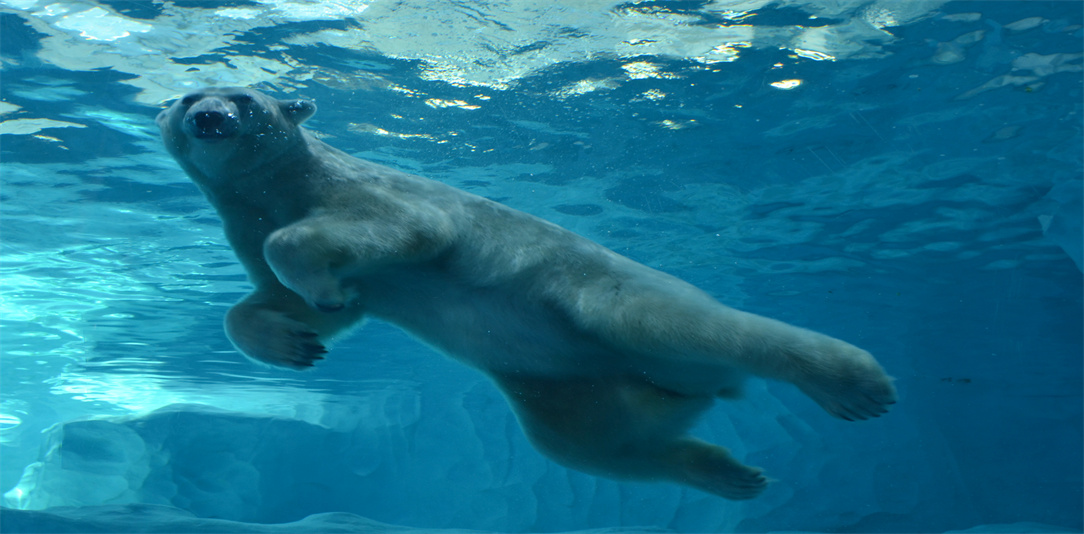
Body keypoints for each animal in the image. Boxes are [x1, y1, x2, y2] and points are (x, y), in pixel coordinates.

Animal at [156, 87, 897, 500]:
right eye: (189, 98)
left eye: (243, 99)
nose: (210, 118)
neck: (281, 186)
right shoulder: (246, 220)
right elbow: (299, 304)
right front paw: (295, 339)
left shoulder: (372, 196)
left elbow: (395, 235)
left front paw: (313, 286)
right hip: (564, 385)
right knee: (589, 444)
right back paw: (731, 475)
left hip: (591, 291)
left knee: (672, 323)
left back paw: (851, 382)